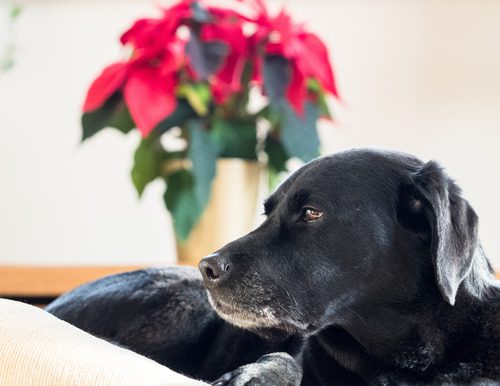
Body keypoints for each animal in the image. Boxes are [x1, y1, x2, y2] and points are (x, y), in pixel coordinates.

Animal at [45, 151, 498, 386]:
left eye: (311, 213)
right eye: (267, 211)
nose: (206, 266)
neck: (401, 358)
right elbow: (284, 360)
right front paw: (253, 375)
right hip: (185, 303)